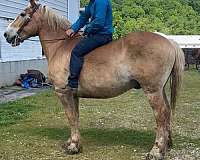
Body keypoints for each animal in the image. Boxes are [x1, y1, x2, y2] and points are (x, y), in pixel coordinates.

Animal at [3, 0, 184, 159]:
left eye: (22, 14)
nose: (6, 34)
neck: (60, 46)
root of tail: (169, 42)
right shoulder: (73, 94)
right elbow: (75, 117)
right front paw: (72, 142)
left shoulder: (63, 92)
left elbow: (70, 117)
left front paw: (73, 146)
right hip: (160, 90)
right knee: (167, 112)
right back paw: (166, 145)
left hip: (152, 91)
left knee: (161, 115)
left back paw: (156, 150)